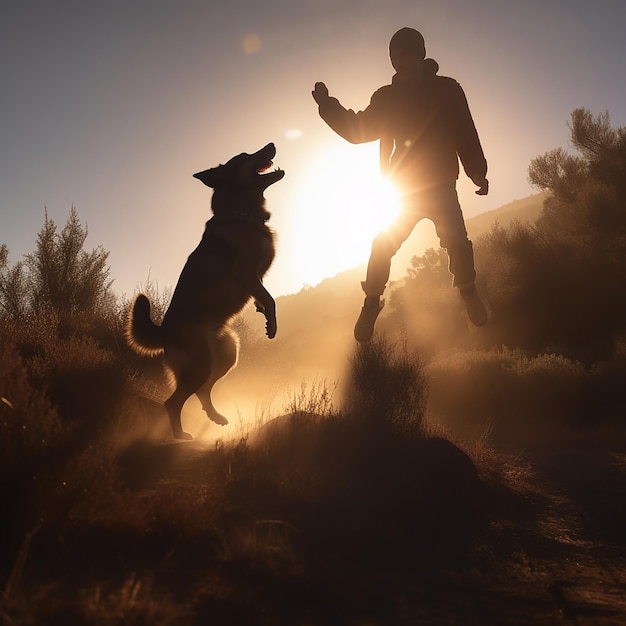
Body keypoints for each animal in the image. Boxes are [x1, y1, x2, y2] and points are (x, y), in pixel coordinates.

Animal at [127, 142, 282, 436]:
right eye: (244, 157)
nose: (271, 144)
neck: (240, 213)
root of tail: (163, 332)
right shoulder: (246, 273)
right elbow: (271, 300)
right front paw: (272, 323)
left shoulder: (256, 279)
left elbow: (264, 296)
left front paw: (264, 314)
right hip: (201, 364)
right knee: (174, 401)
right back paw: (180, 436)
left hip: (226, 353)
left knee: (202, 391)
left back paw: (215, 416)